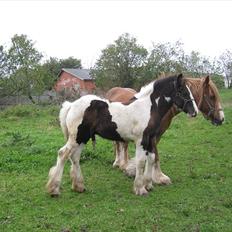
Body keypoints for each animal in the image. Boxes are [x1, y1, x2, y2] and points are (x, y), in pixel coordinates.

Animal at [46, 73, 198, 196]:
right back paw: (54, 189)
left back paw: (79, 186)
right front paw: (140, 189)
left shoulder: (150, 139)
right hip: (76, 137)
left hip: (83, 138)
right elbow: (141, 162)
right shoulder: (141, 140)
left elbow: (151, 158)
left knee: (75, 157)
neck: (148, 108)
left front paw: (148, 185)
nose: (194, 112)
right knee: (63, 154)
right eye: (183, 91)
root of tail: (71, 105)